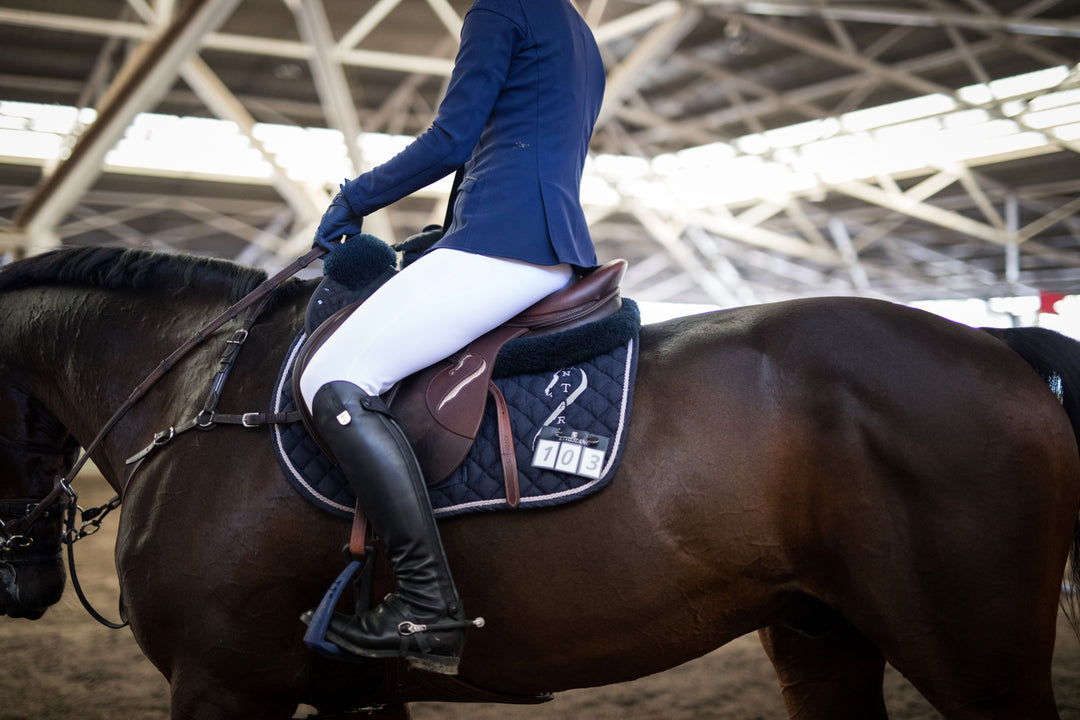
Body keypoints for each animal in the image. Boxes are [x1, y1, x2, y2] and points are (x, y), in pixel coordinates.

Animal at [2, 248, 1080, 720]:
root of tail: (999, 346)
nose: (25, 587)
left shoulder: (224, 679)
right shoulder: (350, 692)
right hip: (822, 635)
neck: (203, 399)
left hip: (972, 648)